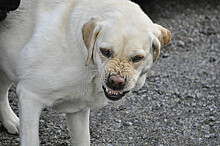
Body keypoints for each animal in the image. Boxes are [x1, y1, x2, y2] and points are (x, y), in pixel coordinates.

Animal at [0, 0, 170, 145]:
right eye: (105, 51)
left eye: (137, 58)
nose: (116, 81)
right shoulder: (30, 96)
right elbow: (32, 140)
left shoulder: (78, 110)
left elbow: (83, 140)